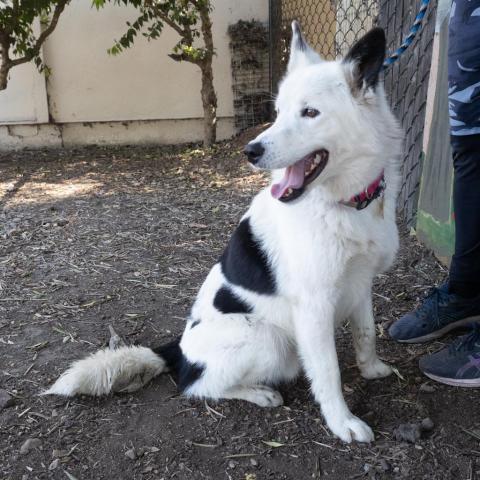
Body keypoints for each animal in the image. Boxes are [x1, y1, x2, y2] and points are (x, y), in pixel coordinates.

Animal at [46, 22, 404, 442]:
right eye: (278, 113)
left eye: (310, 113)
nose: (251, 151)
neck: (345, 202)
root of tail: (178, 349)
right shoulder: (314, 307)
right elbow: (328, 372)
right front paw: (341, 421)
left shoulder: (361, 283)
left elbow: (366, 333)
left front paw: (372, 369)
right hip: (270, 339)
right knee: (196, 385)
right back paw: (257, 393)